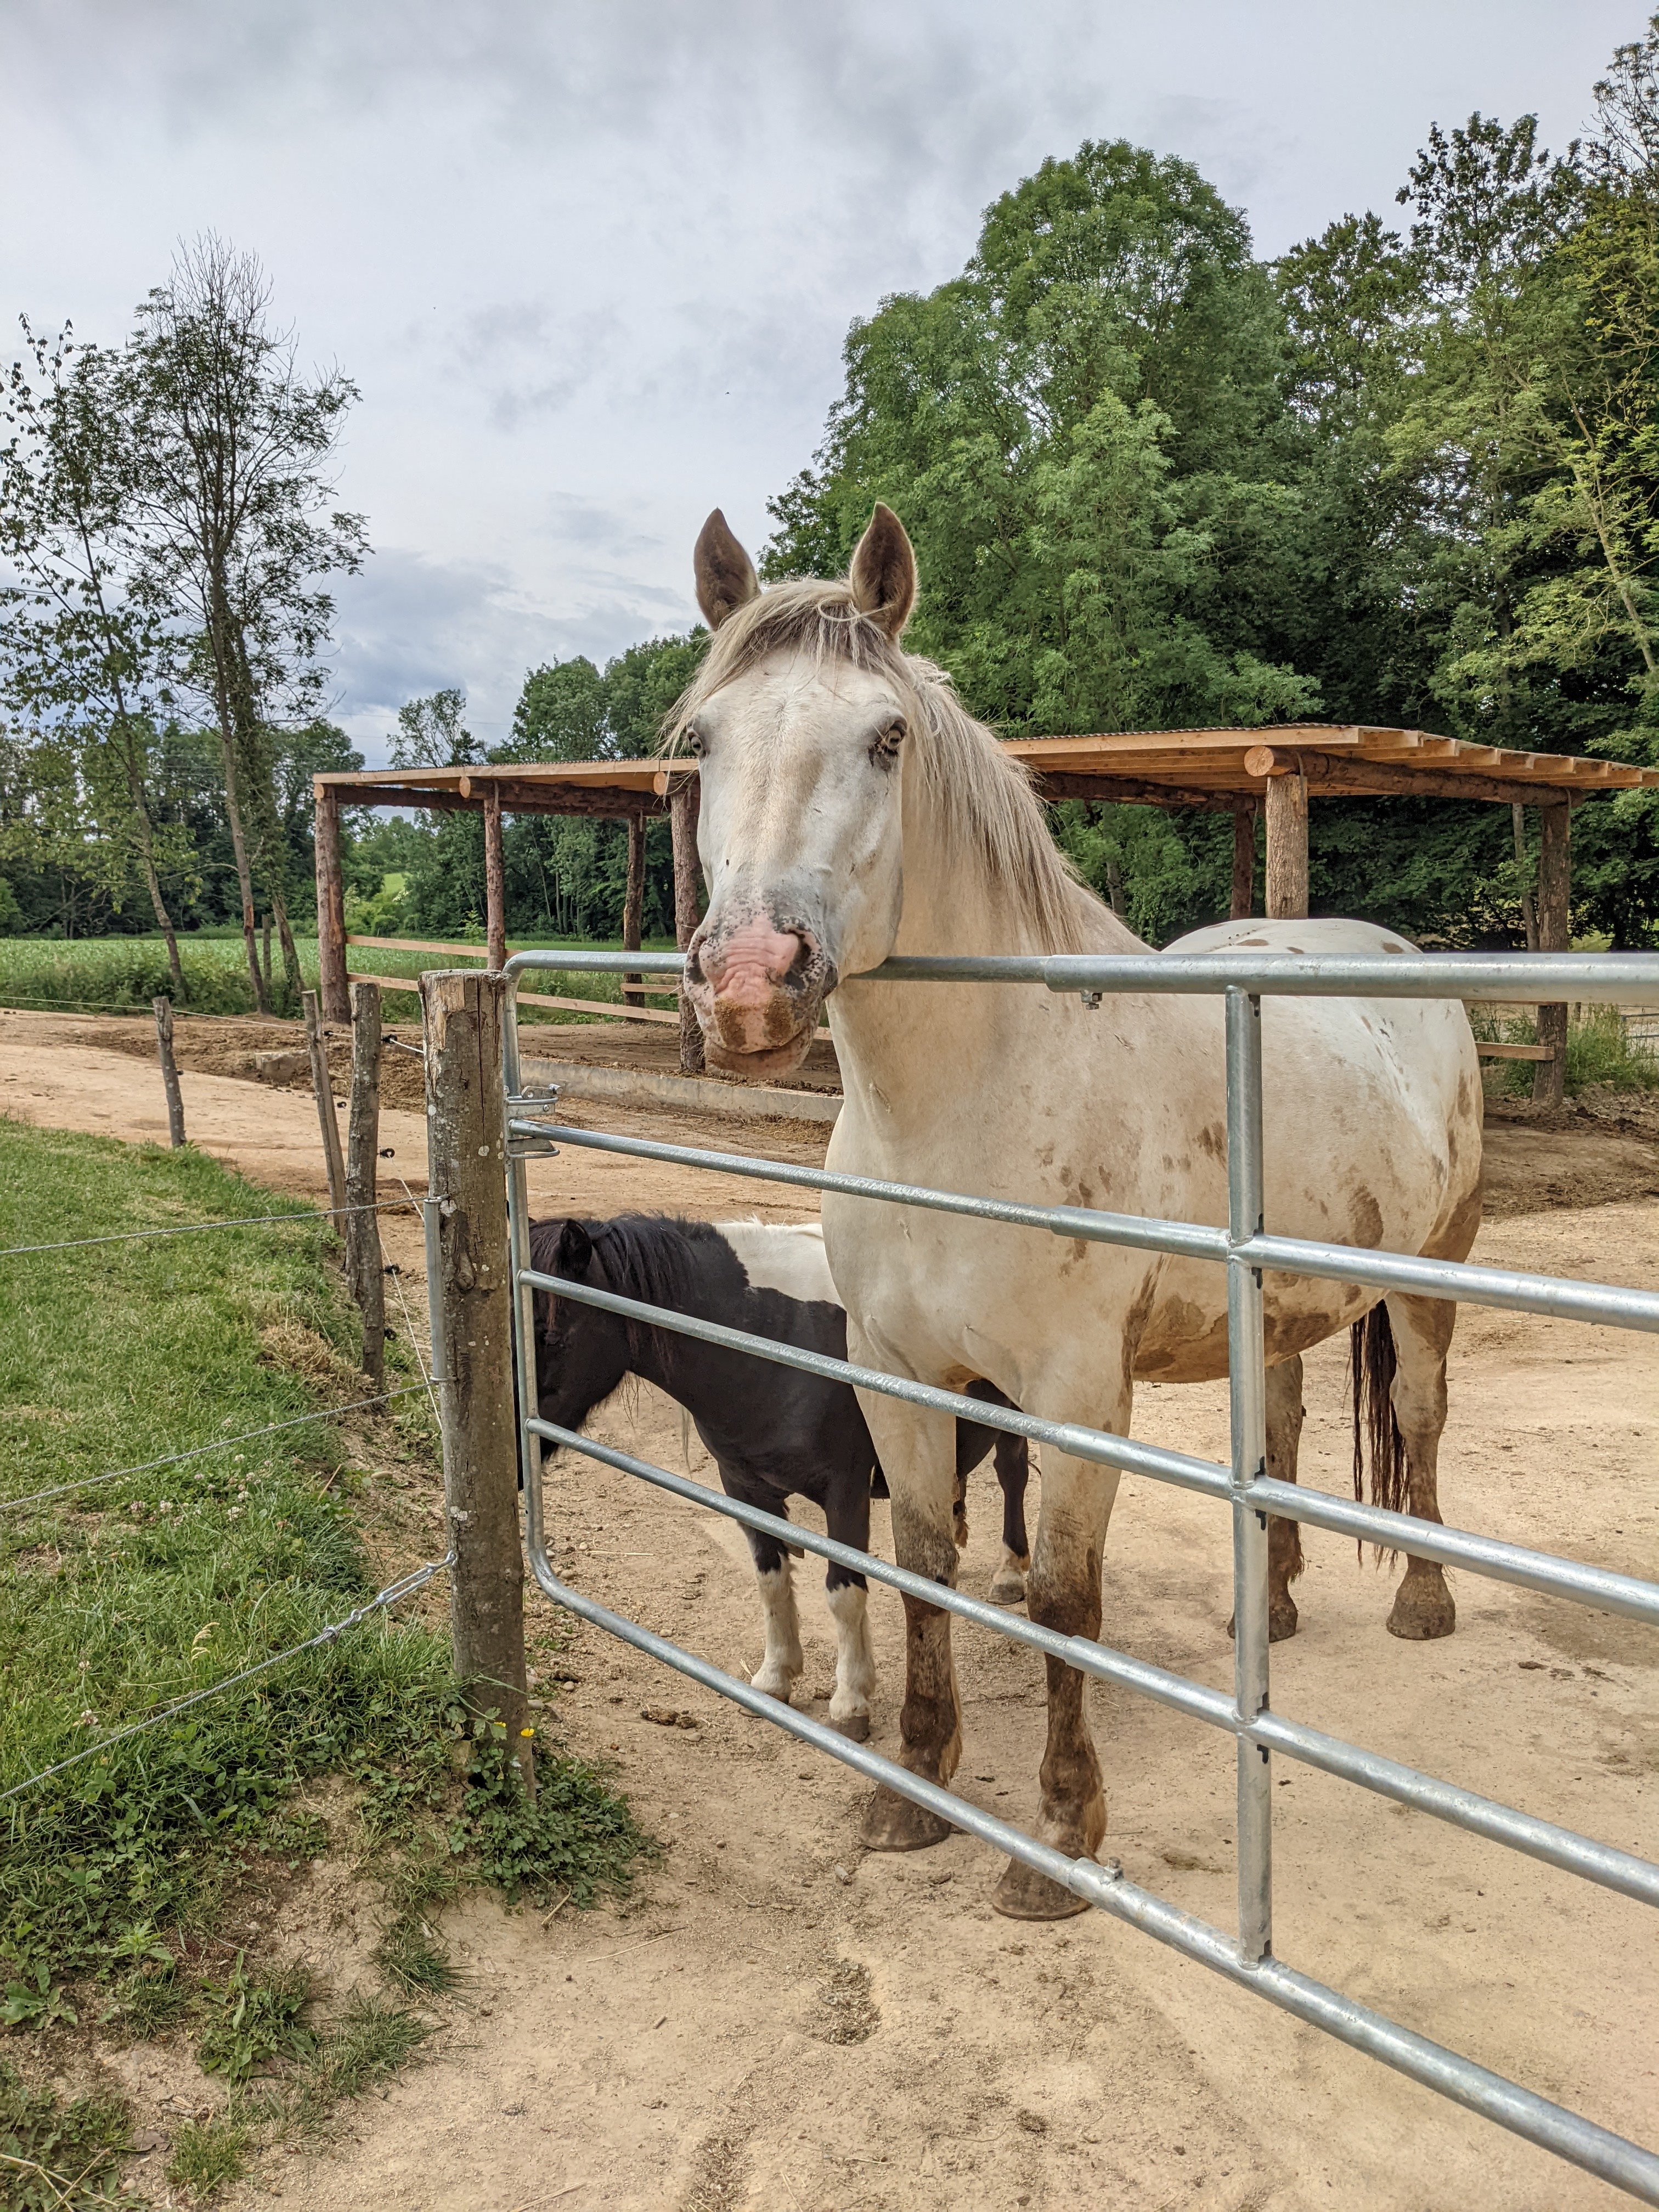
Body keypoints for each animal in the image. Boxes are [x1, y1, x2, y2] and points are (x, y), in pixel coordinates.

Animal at [526, 1211, 1033, 1742]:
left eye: (550, 1335)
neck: (772, 1336)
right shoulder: (745, 1487)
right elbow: (771, 1579)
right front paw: (775, 1679)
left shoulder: (845, 1491)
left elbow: (844, 1591)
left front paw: (850, 1702)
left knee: (1012, 1474)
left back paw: (1009, 1573)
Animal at [668, 503, 1483, 1919]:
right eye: (706, 742)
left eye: (886, 739)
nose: (751, 988)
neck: (968, 1104)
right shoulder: (898, 1374)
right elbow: (922, 1566)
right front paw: (912, 1794)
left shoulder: (1075, 1392)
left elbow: (1058, 1600)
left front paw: (1055, 1839)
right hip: (1269, 1309)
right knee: (1278, 1437)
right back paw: (1267, 1612)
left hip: (1433, 1276)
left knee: (1422, 1423)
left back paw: (1422, 1604)